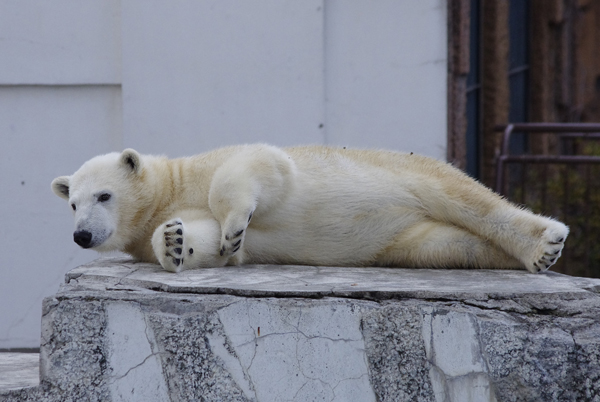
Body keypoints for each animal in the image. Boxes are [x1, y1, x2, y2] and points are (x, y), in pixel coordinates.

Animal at [50, 144, 568, 274]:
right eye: (72, 203)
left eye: (104, 195)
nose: (82, 235)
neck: (170, 188)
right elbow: (210, 244)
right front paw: (176, 241)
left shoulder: (212, 165)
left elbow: (258, 166)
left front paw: (234, 224)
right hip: (405, 238)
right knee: (449, 244)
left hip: (408, 173)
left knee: (470, 201)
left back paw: (545, 242)